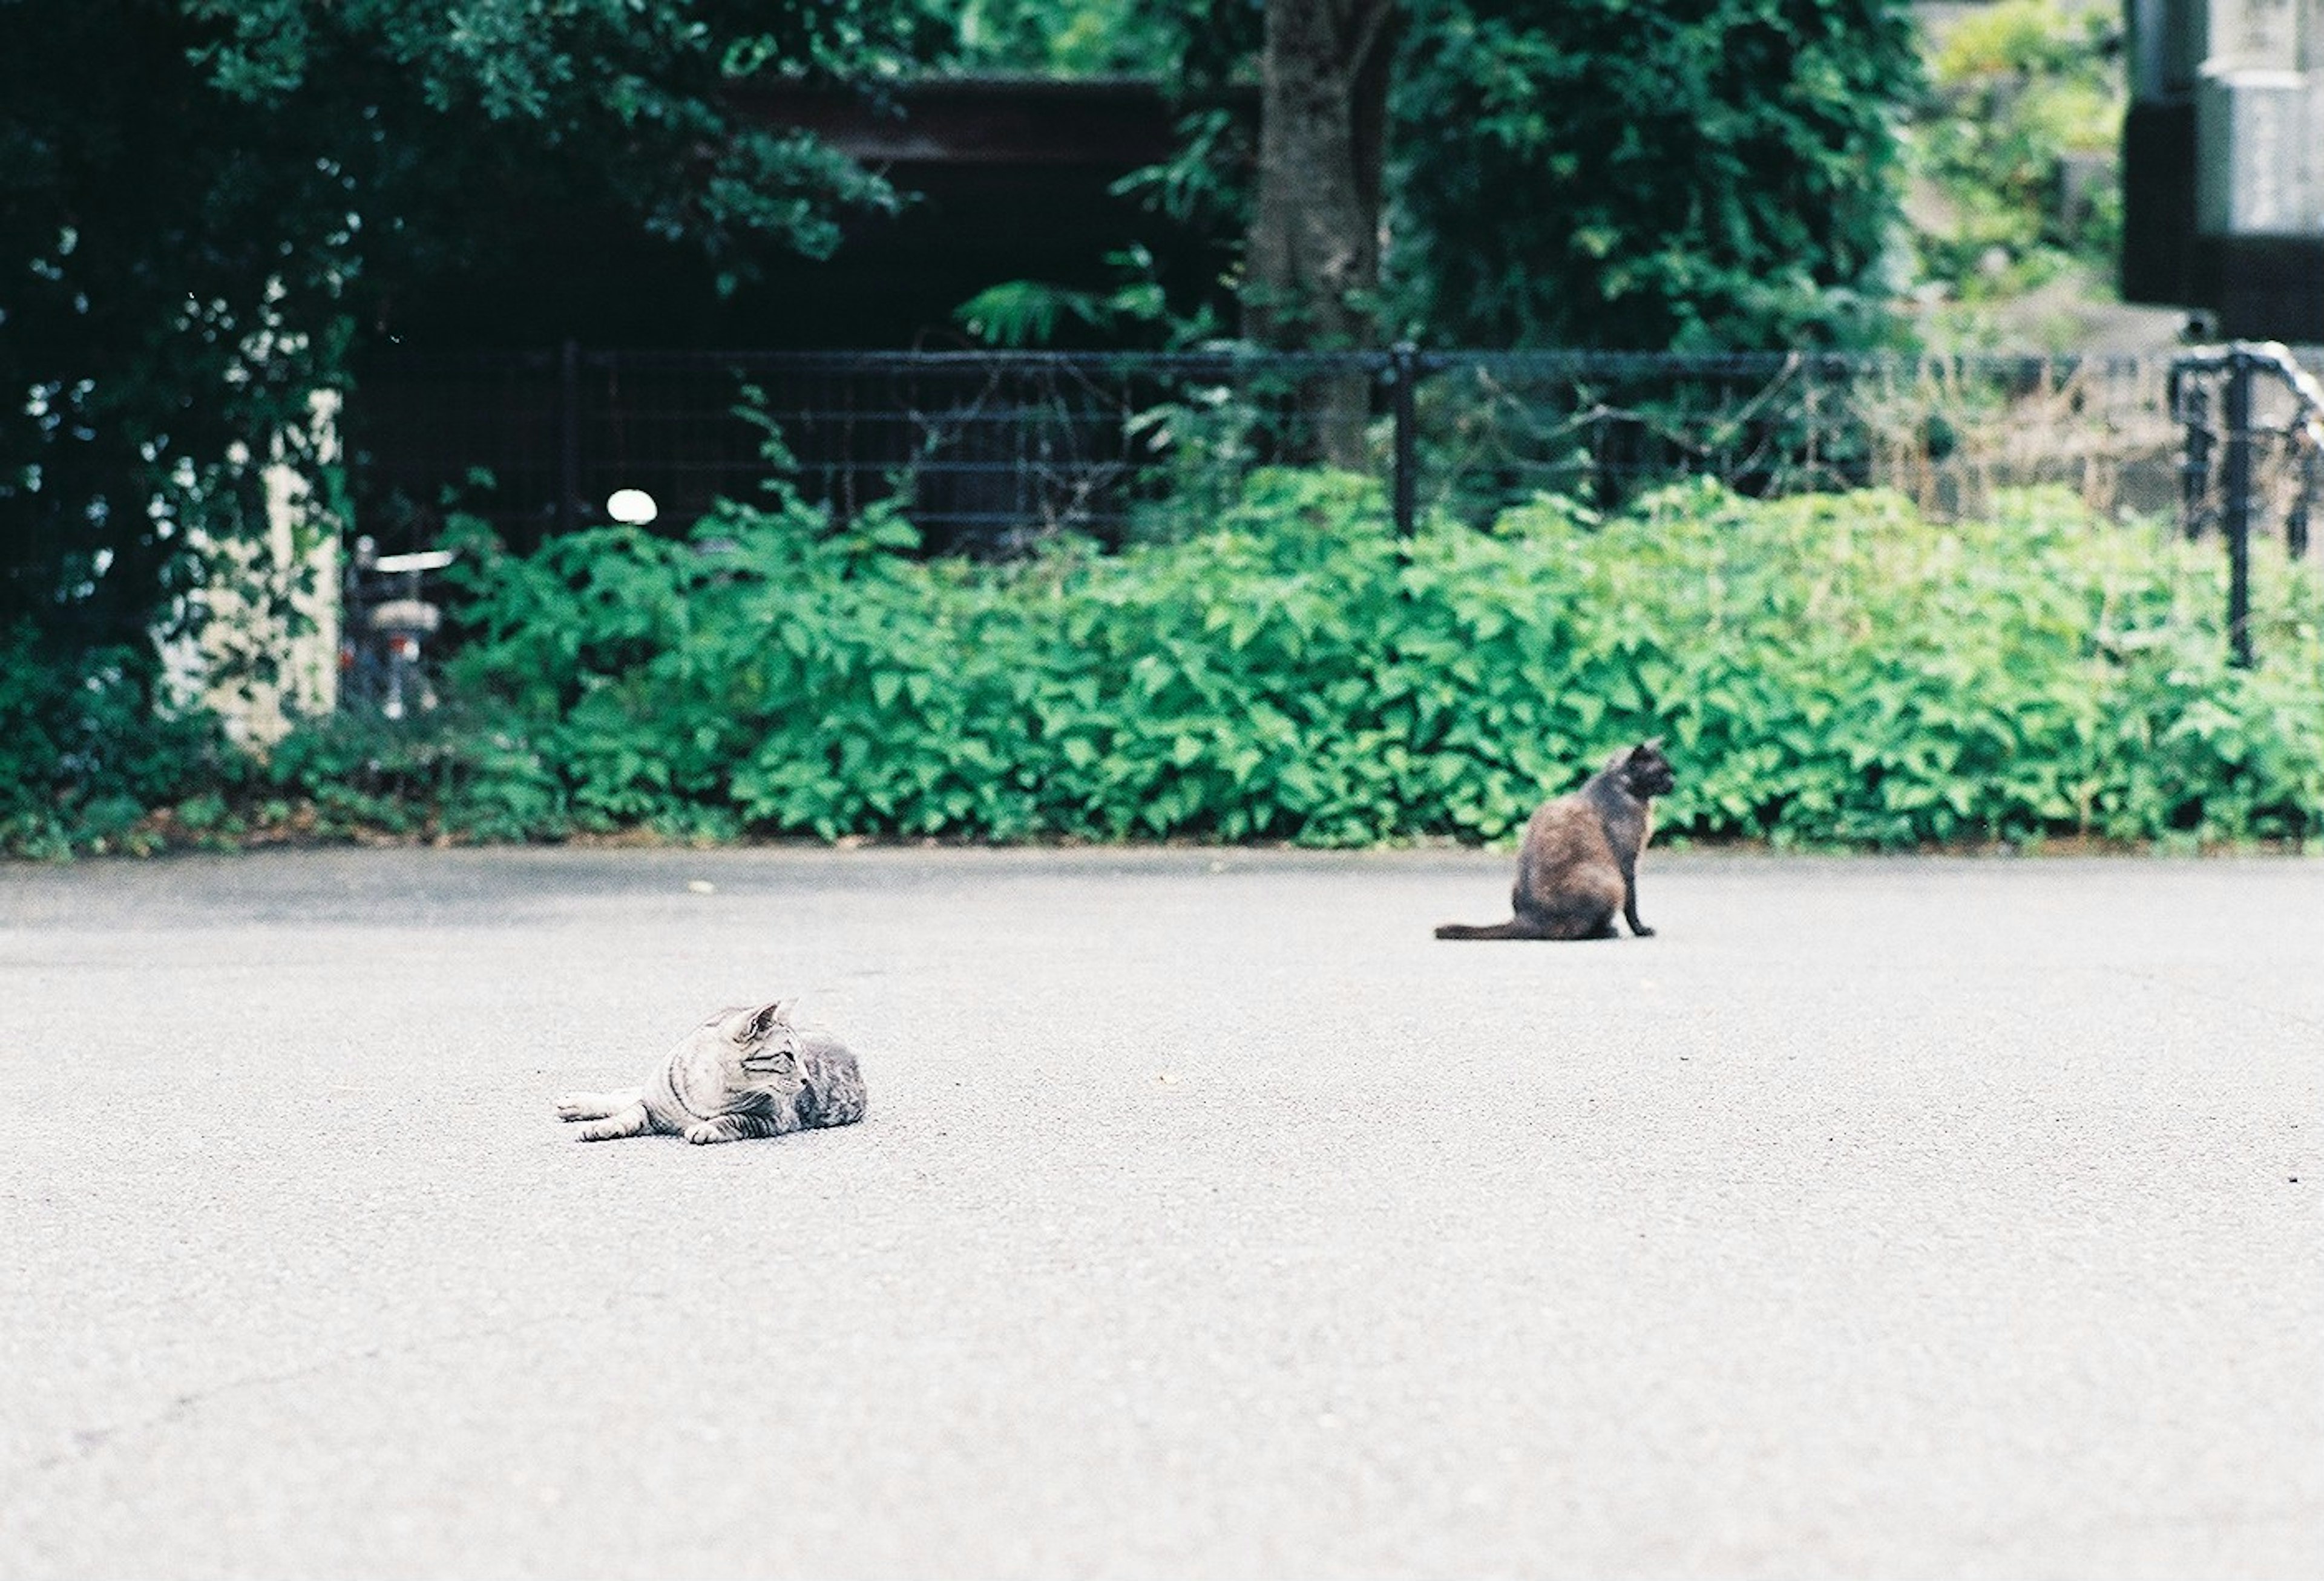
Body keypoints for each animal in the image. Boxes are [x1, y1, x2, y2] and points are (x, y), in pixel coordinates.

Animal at [557, 1004, 869, 1144]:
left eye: (804, 1058)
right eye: (789, 1056)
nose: (807, 1080)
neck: (712, 1089)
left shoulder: (774, 1120)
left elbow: (734, 1119)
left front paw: (706, 1127)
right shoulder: (652, 1107)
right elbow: (629, 1115)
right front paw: (604, 1126)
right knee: (629, 1095)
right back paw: (577, 1103)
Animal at [1422, 739, 1682, 939]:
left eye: (1670, 771)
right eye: (1661, 773)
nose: (1673, 783)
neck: (1623, 788)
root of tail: (1529, 918)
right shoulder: (1627, 864)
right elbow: (1632, 904)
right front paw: (1641, 930)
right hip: (1611, 881)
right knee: (1576, 932)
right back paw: (1608, 932)